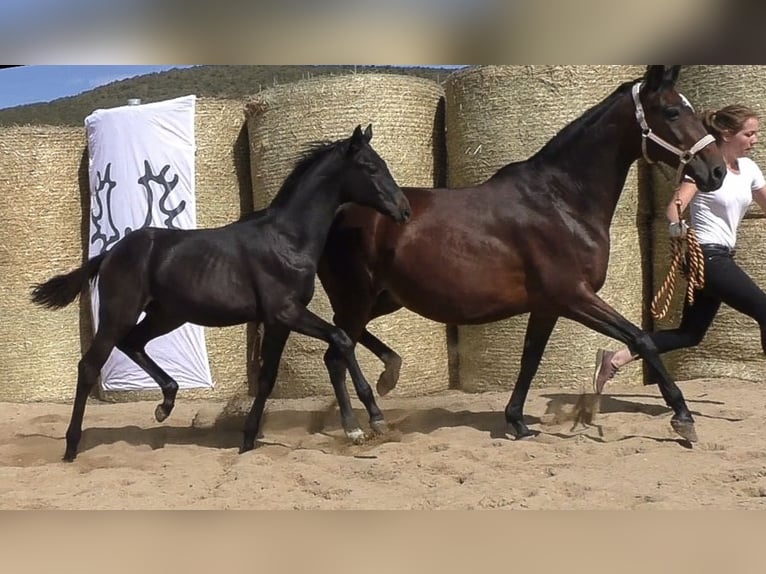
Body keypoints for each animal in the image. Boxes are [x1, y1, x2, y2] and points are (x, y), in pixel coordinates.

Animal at [32, 124, 412, 462]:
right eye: (371, 167)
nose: (404, 210)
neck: (287, 240)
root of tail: (110, 253)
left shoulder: (278, 322)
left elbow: (267, 379)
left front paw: (247, 441)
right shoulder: (286, 312)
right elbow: (342, 339)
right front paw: (370, 421)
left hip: (166, 315)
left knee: (133, 343)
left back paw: (165, 405)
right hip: (119, 313)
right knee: (89, 366)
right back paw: (71, 447)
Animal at [320, 66, 728, 446]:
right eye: (672, 111)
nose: (717, 171)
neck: (562, 201)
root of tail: (338, 210)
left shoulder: (548, 306)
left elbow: (530, 359)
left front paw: (516, 421)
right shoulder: (574, 296)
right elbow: (641, 339)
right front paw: (683, 418)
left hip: (384, 299)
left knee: (339, 340)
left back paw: (388, 377)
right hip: (358, 297)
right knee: (337, 351)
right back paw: (360, 425)